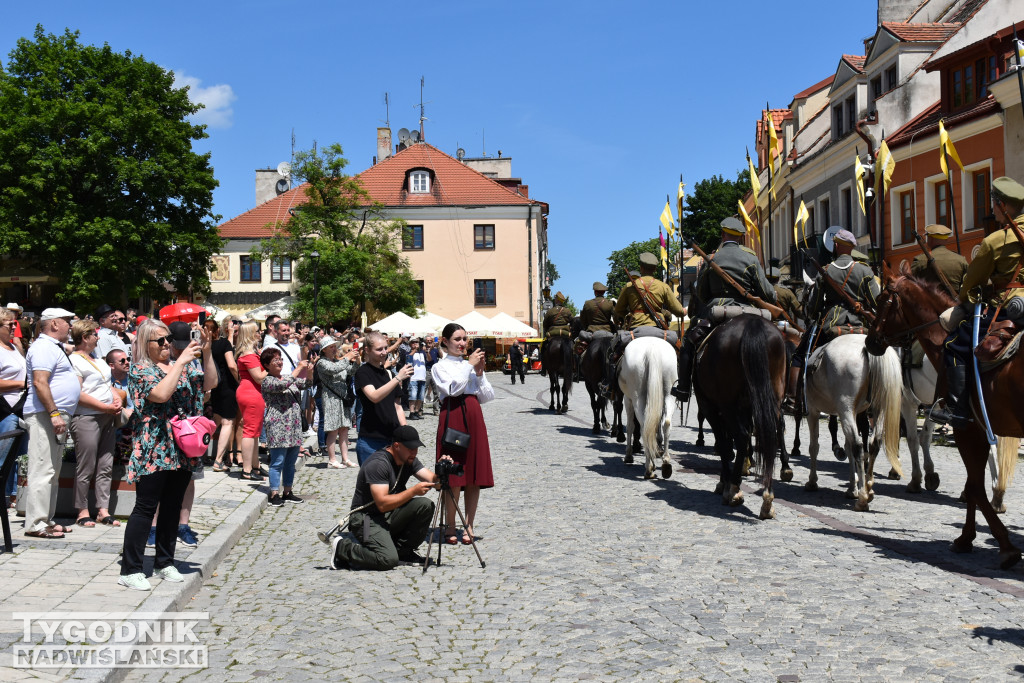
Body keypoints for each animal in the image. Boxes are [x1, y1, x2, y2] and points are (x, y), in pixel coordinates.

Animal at [618, 337, 675, 481]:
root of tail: (651, 348)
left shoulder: (628, 399)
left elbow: (630, 426)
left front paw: (628, 455)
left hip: (637, 398)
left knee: (644, 426)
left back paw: (649, 468)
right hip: (669, 394)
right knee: (666, 423)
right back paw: (666, 463)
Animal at [692, 315, 786, 518]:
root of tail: (753, 322)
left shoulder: (711, 408)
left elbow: (725, 444)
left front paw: (725, 482)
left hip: (726, 406)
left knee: (741, 437)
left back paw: (734, 490)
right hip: (772, 401)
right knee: (771, 437)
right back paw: (768, 498)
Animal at [802, 333, 901, 509]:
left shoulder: (813, 411)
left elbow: (814, 447)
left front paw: (812, 482)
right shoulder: (852, 414)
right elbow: (847, 449)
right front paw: (852, 488)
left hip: (845, 409)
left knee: (858, 446)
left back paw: (863, 498)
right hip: (878, 409)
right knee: (874, 443)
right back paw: (868, 486)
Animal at [868, 270, 1019, 569]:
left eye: (882, 301)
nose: (870, 341)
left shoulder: (920, 406)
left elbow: (915, 439)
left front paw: (917, 478)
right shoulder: (952, 414)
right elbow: (930, 441)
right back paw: (998, 496)